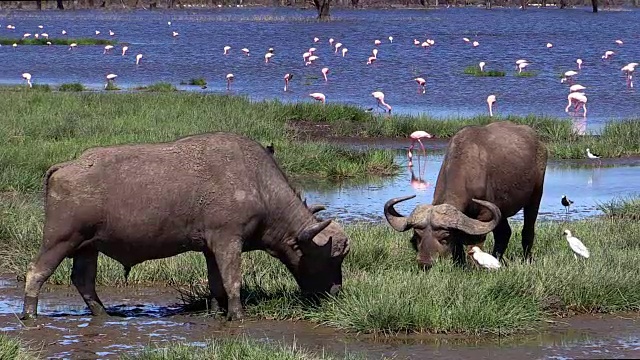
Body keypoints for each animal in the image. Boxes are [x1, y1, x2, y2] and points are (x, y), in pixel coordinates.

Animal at [22, 132, 350, 320]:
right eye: (327, 259)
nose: (334, 292)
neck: (256, 184)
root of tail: (66, 166)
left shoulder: (211, 248)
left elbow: (217, 284)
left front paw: (217, 312)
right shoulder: (228, 241)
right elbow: (233, 282)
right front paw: (238, 315)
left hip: (88, 246)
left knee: (83, 280)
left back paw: (103, 314)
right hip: (59, 240)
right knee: (36, 272)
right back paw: (29, 314)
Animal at [382, 121, 548, 268]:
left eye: (444, 237)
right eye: (417, 236)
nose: (425, 263)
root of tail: (539, 143)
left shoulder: (485, 215)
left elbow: (474, 243)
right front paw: (459, 264)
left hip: (536, 195)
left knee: (527, 229)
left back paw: (527, 259)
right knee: (504, 233)